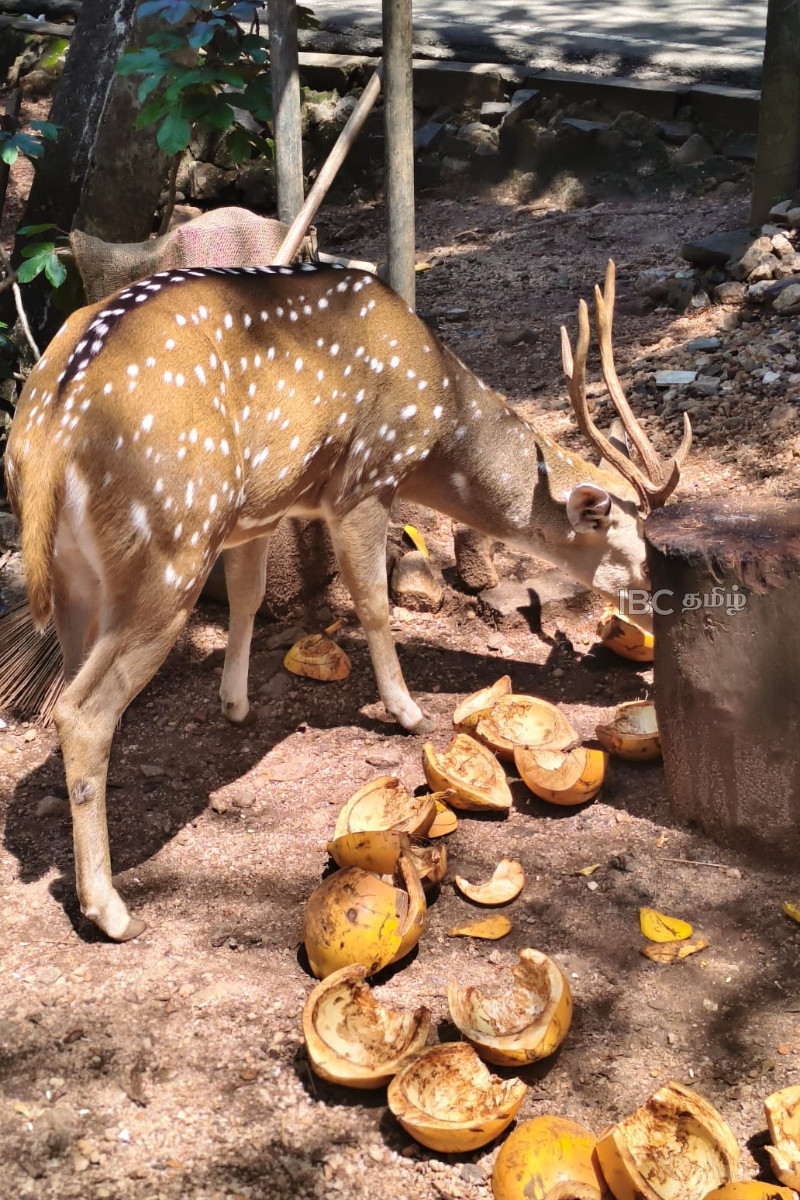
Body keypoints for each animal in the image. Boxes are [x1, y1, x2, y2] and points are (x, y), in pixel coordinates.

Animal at [4, 258, 690, 941]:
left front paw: (236, 705)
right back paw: (112, 910)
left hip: (83, 575)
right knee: (82, 712)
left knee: (67, 689)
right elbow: (373, 603)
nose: (663, 612)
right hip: (175, 543)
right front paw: (410, 713)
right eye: (639, 549)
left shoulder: (259, 511)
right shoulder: (365, 479)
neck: (438, 412)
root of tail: (46, 441)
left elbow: (249, 599)